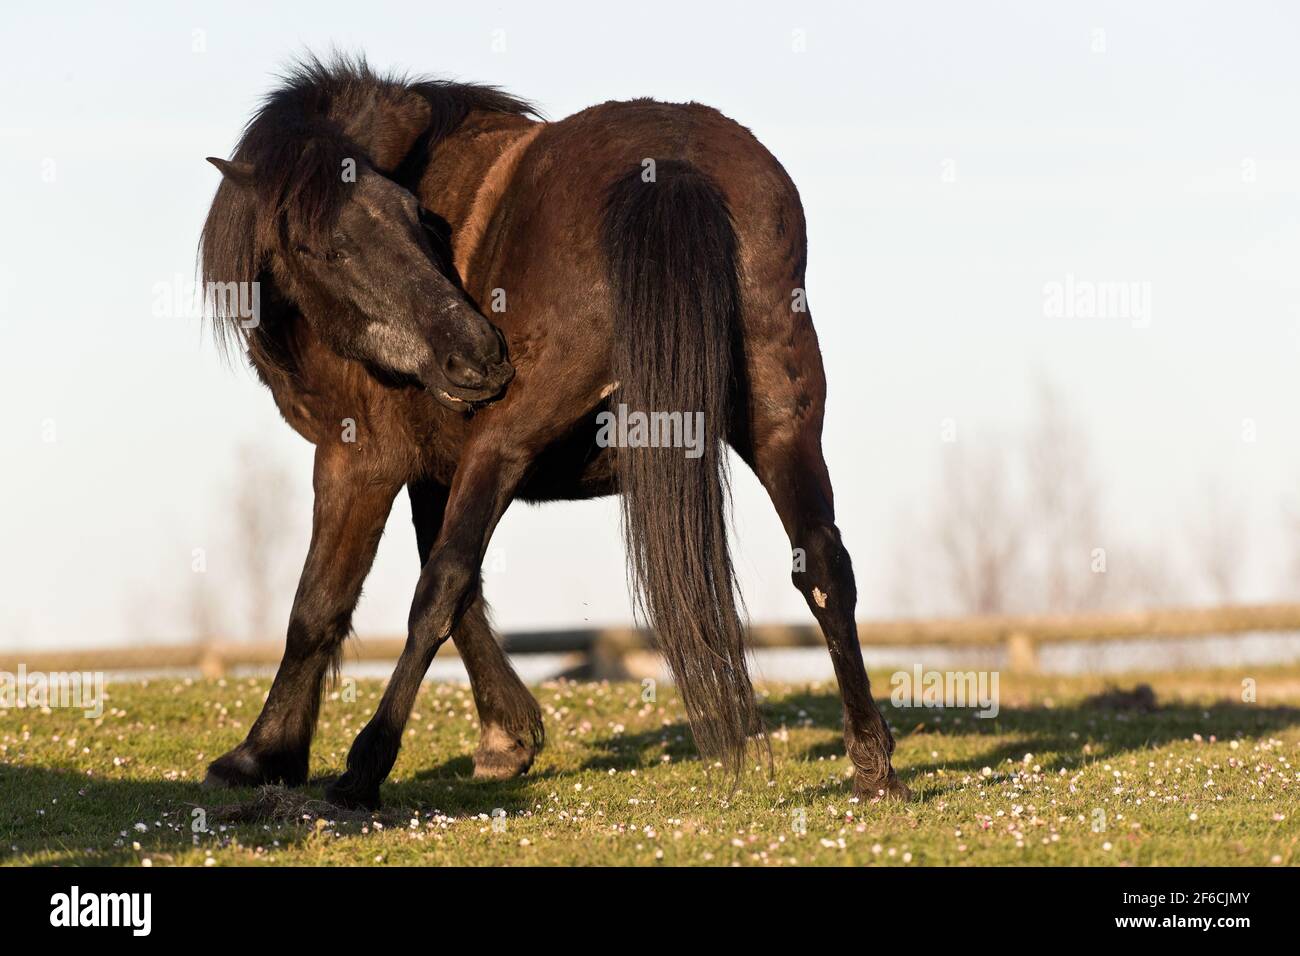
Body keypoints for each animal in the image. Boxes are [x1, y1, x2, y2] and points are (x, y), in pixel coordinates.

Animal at [199, 54, 909, 809]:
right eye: (320, 248)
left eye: (415, 218)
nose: (475, 352)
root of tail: (671, 164)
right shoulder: (434, 471)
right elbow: (456, 589)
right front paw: (506, 736)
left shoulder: (361, 457)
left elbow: (324, 605)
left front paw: (261, 753)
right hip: (783, 422)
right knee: (825, 564)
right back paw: (874, 765)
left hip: (509, 434)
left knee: (440, 587)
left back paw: (365, 770)